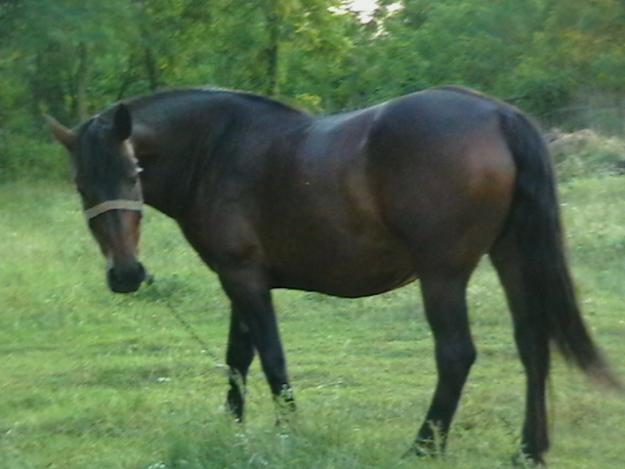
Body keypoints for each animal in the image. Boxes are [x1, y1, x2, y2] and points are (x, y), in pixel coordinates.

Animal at [46, 86, 616, 462]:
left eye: (133, 173)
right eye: (80, 184)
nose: (126, 274)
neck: (219, 149)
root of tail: (497, 114)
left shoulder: (244, 277)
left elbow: (271, 359)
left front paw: (288, 435)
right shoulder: (238, 280)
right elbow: (238, 360)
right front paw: (232, 430)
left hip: (443, 273)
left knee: (456, 354)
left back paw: (423, 446)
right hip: (512, 255)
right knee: (533, 344)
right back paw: (529, 449)